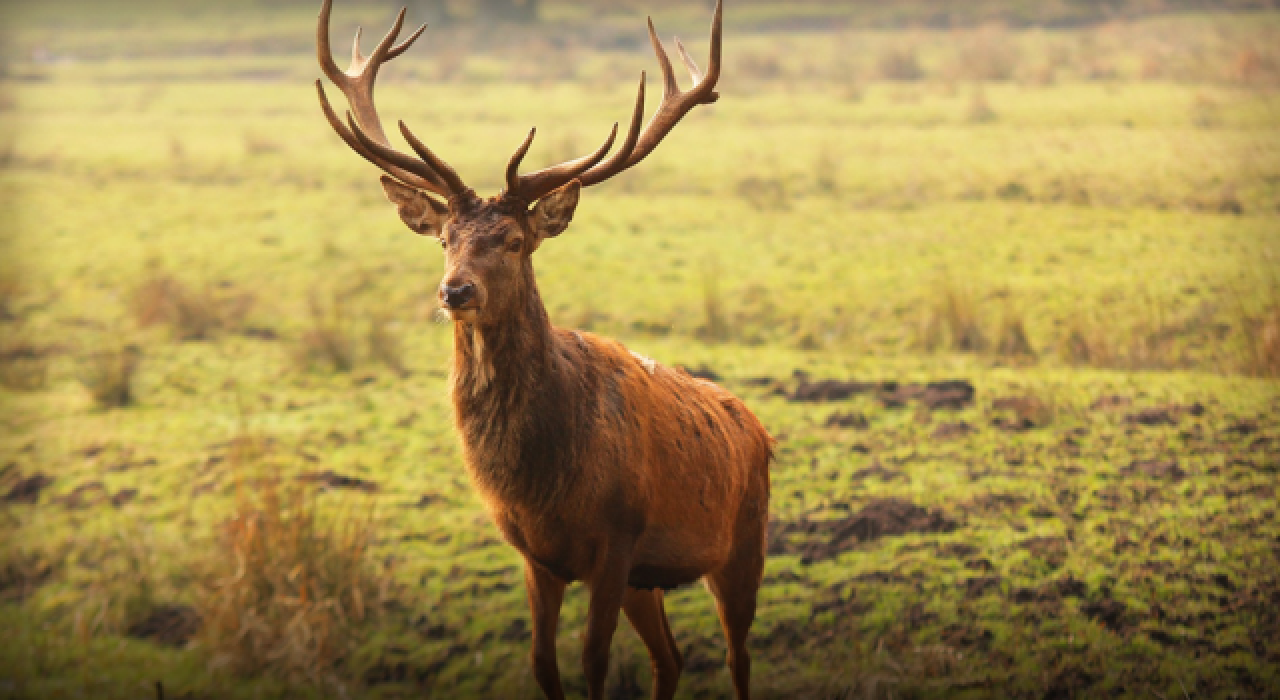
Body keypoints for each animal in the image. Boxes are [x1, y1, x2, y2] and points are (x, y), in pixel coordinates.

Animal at [314, 2, 773, 696]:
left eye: (513, 240)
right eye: (445, 238)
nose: (455, 290)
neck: (540, 478)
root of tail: (756, 426)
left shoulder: (617, 535)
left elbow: (593, 659)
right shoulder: (536, 552)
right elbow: (541, 660)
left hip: (745, 541)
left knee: (737, 656)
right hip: (649, 579)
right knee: (672, 657)